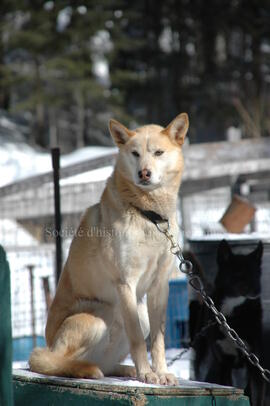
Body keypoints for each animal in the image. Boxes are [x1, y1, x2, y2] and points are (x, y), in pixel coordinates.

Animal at [29, 112, 189, 386]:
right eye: (135, 153)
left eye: (158, 152)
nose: (144, 173)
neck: (149, 216)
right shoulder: (126, 283)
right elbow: (137, 339)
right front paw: (147, 373)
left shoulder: (160, 286)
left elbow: (158, 340)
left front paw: (160, 372)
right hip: (97, 317)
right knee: (56, 361)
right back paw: (86, 369)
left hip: (140, 314)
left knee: (106, 363)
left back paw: (124, 370)